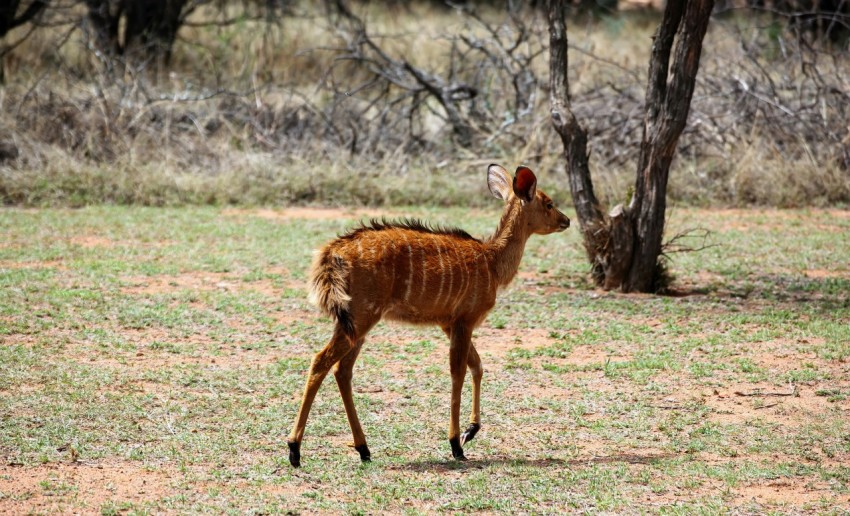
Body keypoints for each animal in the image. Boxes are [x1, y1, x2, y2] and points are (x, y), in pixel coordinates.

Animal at [287, 164, 570, 467]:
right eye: (548, 203)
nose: (566, 220)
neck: (492, 262)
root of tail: (332, 253)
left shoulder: (449, 323)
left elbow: (477, 365)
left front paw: (471, 431)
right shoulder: (464, 320)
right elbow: (458, 372)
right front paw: (456, 445)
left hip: (354, 323)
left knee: (342, 370)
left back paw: (363, 449)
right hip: (362, 317)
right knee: (321, 361)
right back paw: (294, 449)